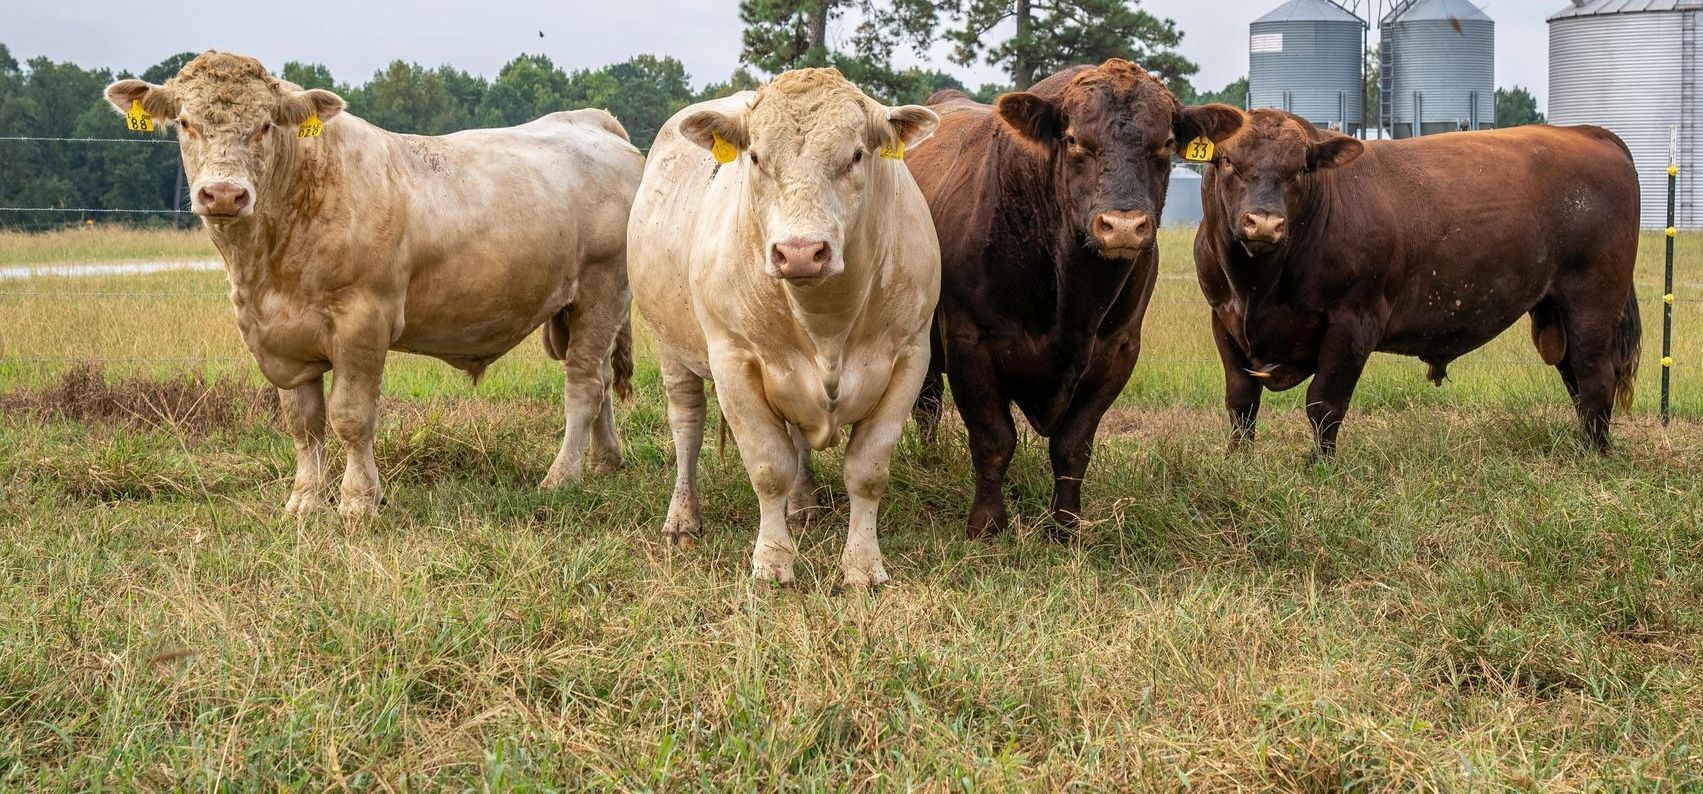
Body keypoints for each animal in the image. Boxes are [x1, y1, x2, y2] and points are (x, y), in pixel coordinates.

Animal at [103, 51, 642, 515]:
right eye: (185, 123)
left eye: (265, 125)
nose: (223, 194)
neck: (266, 269)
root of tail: (593, 121)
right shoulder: (283, 339)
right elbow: (304, 422)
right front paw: (304, 500)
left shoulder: (363, 320)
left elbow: (350, 416)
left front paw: (359, 501)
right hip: (572, 309)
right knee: (602, 379)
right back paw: (604, 462)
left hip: (603, 289)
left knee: (584, 384)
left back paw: (561, 476)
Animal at [628, 68, 940, 586]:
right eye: (755, 156)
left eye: (857, 154)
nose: (799, 252)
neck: (828, 324)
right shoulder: (734, 361)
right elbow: (769, 467)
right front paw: (773, 561)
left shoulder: (910, 356)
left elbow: (867, 471)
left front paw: (862, 566)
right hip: (671, 348)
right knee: (687, 427)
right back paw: (683, 518)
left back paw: (804, 503)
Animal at [905, 60, 1243, 537]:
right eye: (1074, 140)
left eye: (1165, 143)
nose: (1123, 226)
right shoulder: (969, 342)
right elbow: (993, 439)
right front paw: (987, 525)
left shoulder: (1118, 350)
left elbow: (1072, 446)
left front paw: (1065, 524)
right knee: (928, 405)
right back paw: (930, 458)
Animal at [1195, 109, 1642, 455]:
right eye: (1228, 161)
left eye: (1301, 168)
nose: (1264, 223)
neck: (1259, 287)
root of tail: (1588, 132)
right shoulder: (1222, 318)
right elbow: (1241, 400)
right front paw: (1238, 460)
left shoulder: (1354, 320)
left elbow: (1324, 404)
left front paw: (1319, 468)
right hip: (1555, 310)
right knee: (1575, 380)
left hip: (1592, 303)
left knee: (1595, 378)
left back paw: (1595, 457)